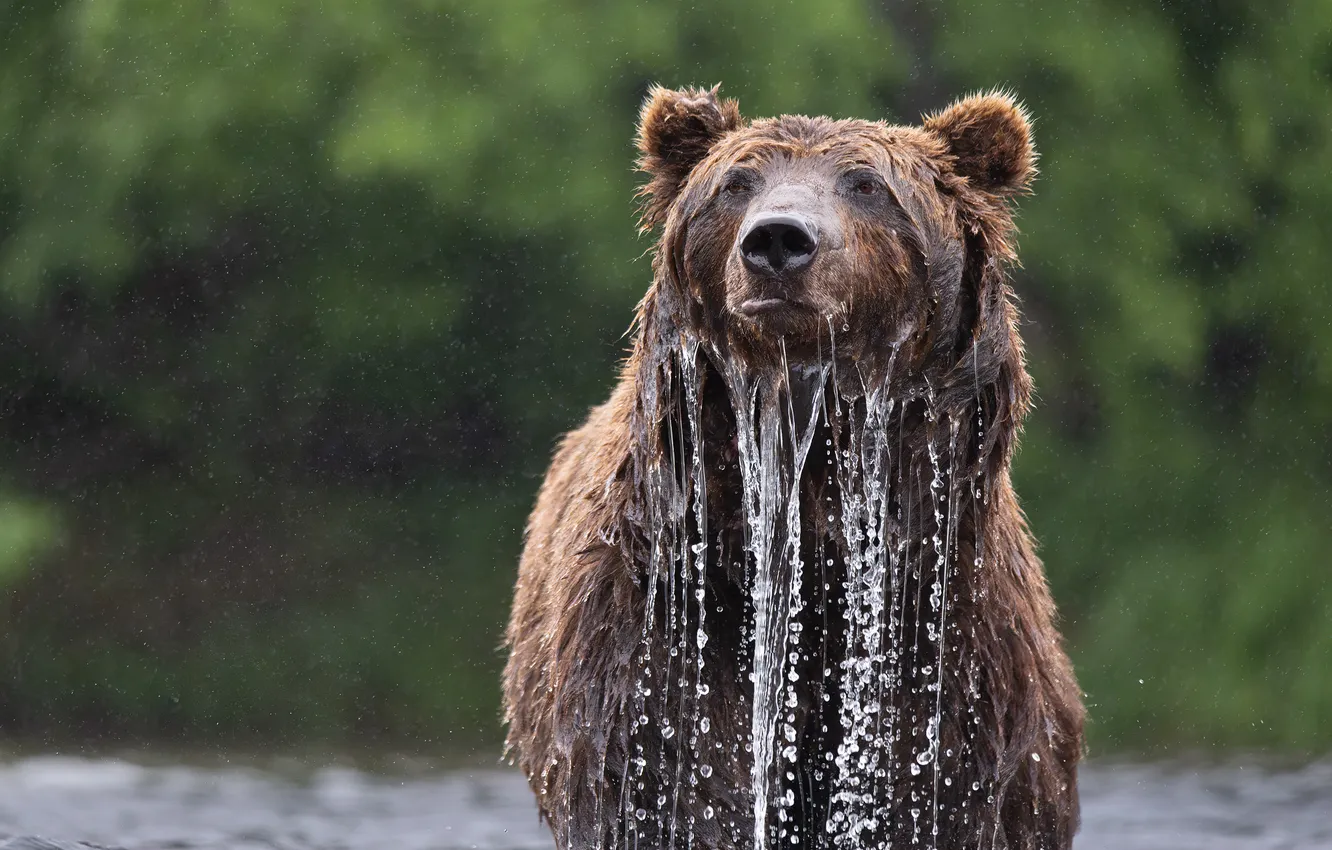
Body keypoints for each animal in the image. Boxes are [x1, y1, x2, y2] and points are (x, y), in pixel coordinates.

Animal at [503, 85, 1085, 850]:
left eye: (867, 184)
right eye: (736, 183)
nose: (777, 240)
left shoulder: (951, 652)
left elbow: (951, 792)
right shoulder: (667, 629)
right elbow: (673, 784)